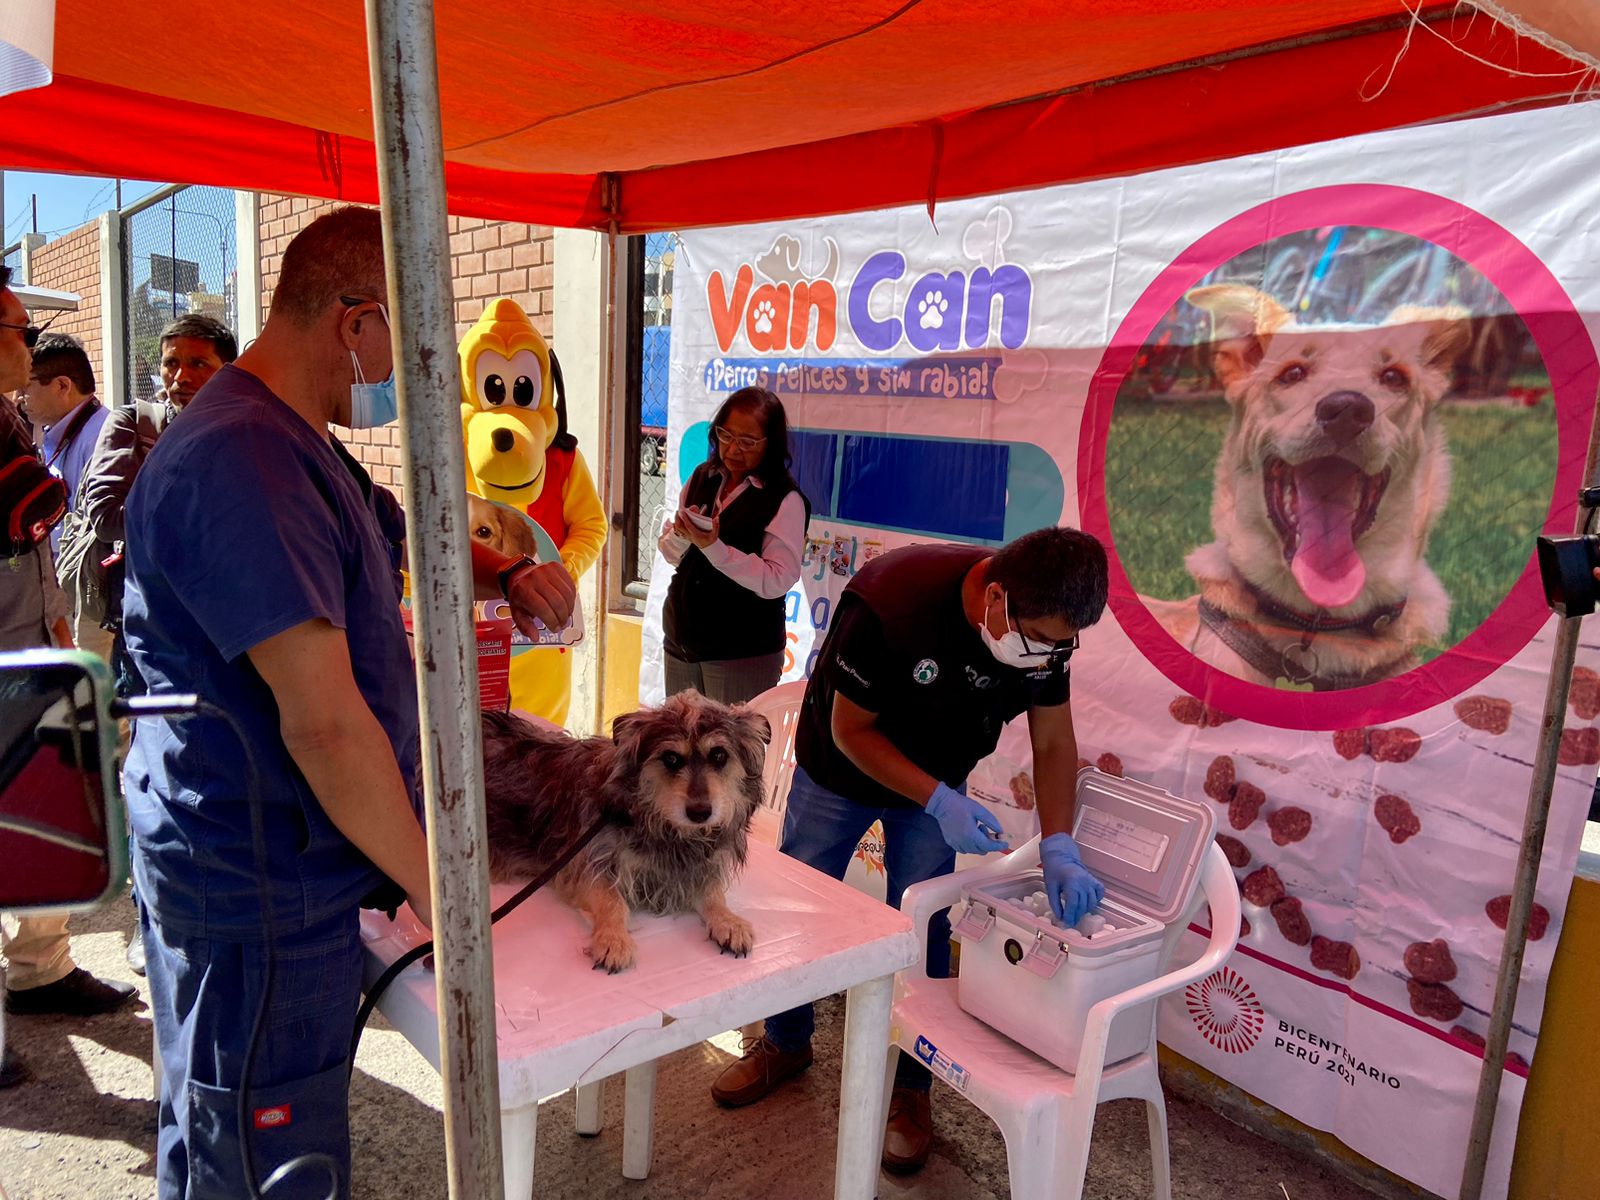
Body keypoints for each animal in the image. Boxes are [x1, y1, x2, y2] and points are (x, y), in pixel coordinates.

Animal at [476, 694, 771, 979]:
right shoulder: (583, 865)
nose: (700, 812)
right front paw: (613, 940)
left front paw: (728, 921)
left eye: (719, 755)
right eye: (671, 758)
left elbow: (713, 893)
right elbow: (612, 901)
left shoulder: (695, 871)